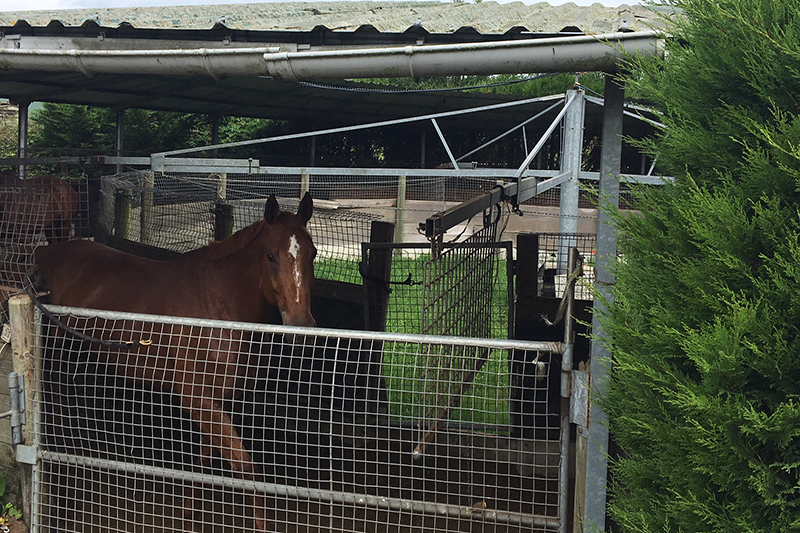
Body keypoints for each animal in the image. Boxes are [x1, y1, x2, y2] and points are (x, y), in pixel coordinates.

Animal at [35, 192, 316, 528]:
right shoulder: (195, 396)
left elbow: (205, 459)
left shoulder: (215, 397)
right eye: (271, 256)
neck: (217, 307)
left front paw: (190, 512)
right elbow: (246, 466)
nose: (302, 326)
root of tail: (45, 253)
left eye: (313, 255)